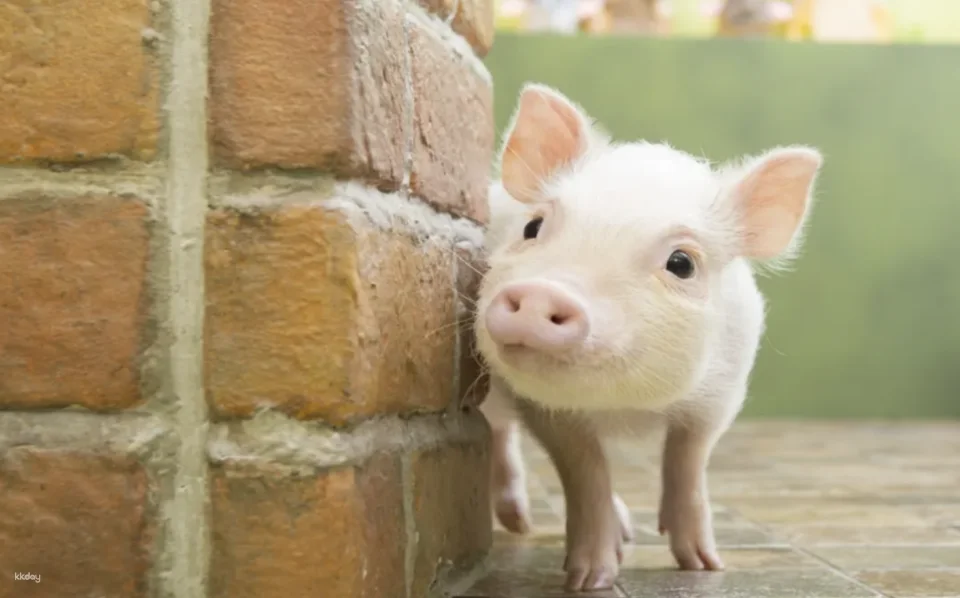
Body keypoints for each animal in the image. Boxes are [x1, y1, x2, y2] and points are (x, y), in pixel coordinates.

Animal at [474, 83, 822, 591]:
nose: (542, 293)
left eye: (682, 263)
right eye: (533, 227)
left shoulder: (723, 394)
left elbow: (688, 462)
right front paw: (589, 581)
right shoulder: (546, 411)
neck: (626, 408)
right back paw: (523, 523)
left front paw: (704, 566)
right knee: (499, 431)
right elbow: (585, 473)